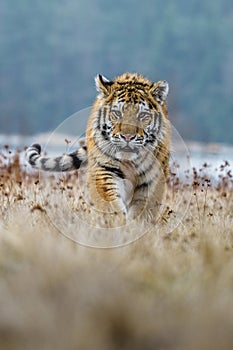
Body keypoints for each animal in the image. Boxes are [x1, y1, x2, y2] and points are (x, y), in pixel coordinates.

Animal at [26, 72, 171, 223]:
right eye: (117, 114)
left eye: (142, 115)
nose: (127, 137)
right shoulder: (105, 170)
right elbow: (111, 205)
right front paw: (117, 224)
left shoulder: (152, 178)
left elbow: (143, 210)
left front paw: (135, 225)